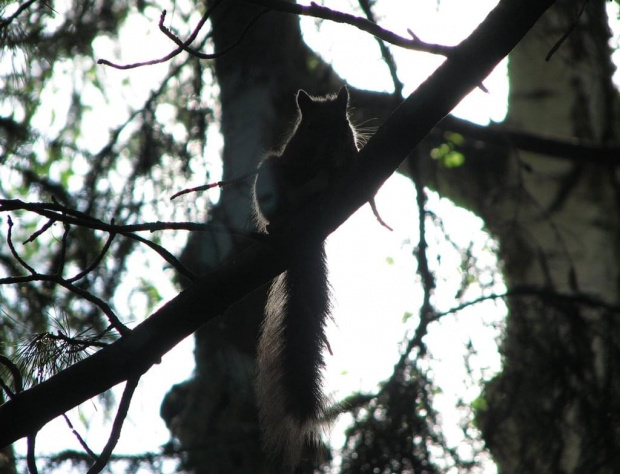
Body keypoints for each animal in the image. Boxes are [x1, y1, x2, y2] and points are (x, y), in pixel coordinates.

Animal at [253, 86, 358, 470]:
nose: (329, 146)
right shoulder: (293, 160)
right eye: (311, 126)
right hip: (268, 178)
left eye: (343, 122)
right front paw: (321, 169)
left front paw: (339, 163)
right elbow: (302, 170)